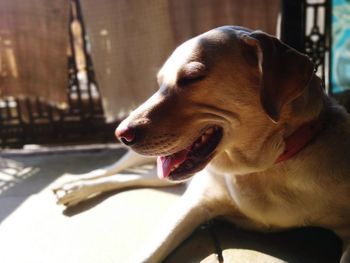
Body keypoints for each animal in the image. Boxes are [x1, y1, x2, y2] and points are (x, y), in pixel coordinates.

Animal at [53, 26, 350, 263]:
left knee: (132, 178)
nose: (120, 133)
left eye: (192, 77)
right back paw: (74, 185)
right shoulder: (192, 206)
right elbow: (148, 252)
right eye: (159, 84)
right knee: (111, 170)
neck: (259, 168)